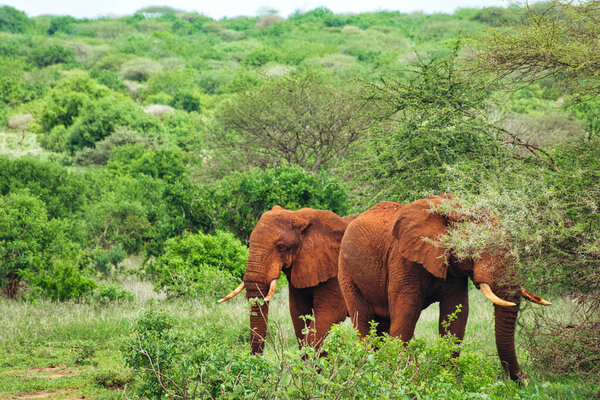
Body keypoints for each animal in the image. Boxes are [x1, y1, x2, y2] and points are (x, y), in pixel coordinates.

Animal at [219, 206, 352, 354]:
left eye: (281, 246)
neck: (300, 216)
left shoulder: (335, 273)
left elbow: (328, 314)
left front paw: (320, 356)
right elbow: (298, 312)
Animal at [338, 195, 548, 382]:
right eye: (478, 246)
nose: (526, 381)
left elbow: (457, 312)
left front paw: (449, 380)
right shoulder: (403, 258)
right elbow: (407, 311)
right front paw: (398, 378)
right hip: (346, 272)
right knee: (363, 320)